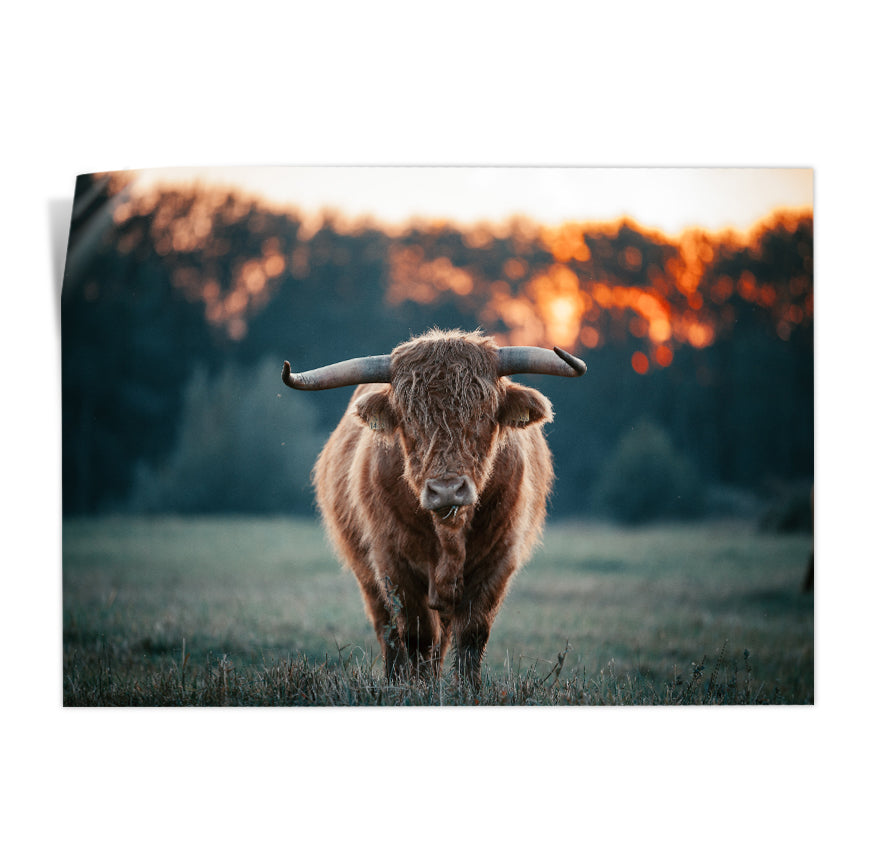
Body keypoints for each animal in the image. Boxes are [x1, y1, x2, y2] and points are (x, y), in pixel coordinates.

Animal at [281, 328, 586, 688]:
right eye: (409, 419)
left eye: (483, 415)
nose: (446, 490)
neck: (449, 535)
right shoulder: (393, 563)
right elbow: (417, 635)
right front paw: (418, 689)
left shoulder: (499, 561)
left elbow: (472, 634)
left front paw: (467, 690)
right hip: (368, 577)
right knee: (389, 632)